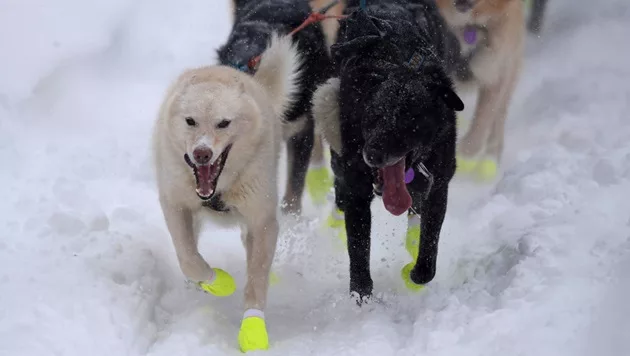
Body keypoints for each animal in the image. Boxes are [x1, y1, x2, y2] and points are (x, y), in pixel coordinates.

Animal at [152, 34, 302, 354]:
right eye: (191, 121)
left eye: (223, 123)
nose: (202, 153)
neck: (218, 188)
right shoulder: (175, 205)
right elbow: (188, 257)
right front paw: (217, 282)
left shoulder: (262, 221)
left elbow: (256, 279)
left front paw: (253, 328)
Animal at [314, 0, 466, 298]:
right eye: (373, 115)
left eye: (409, 120)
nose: (371, 155)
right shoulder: (357, 189)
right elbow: (358, 248)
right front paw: (361, 293)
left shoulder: (439, 184)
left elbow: (429, 240)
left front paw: (418, 272)